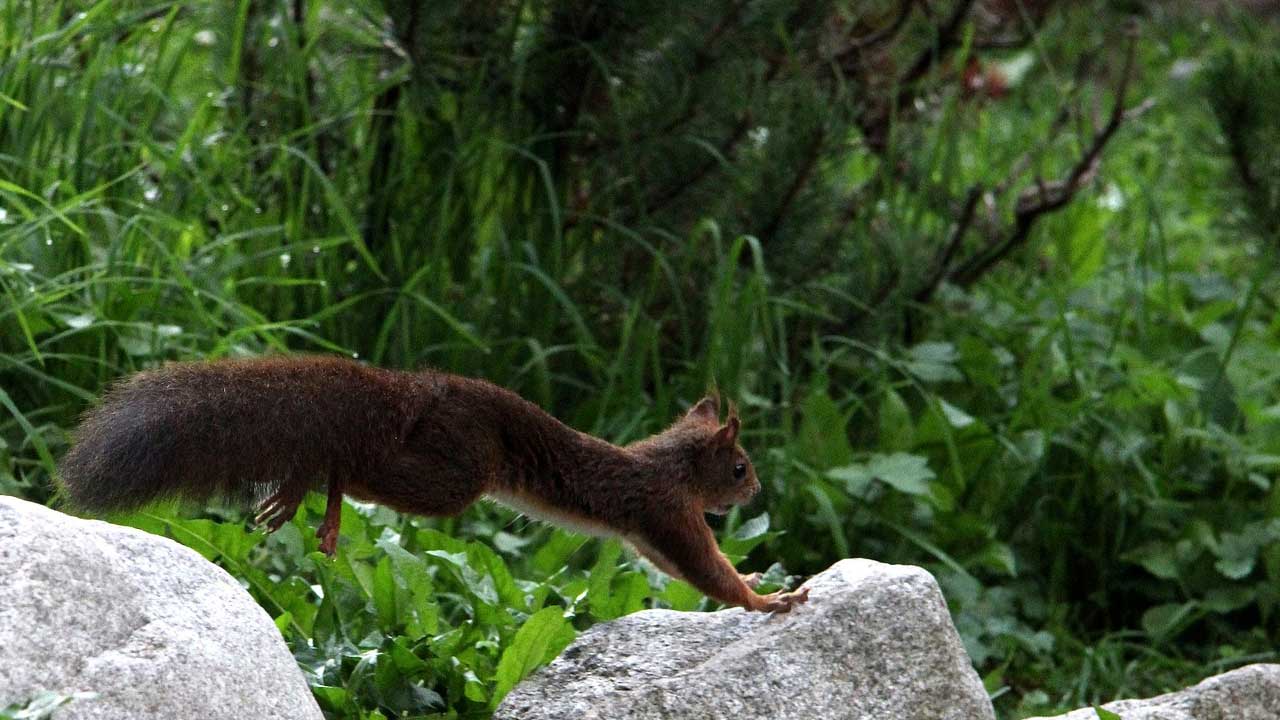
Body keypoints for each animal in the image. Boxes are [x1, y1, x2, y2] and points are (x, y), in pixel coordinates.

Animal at [57, 353, 808, 609]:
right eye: (740, 467)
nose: (753, 494)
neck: (670, 463)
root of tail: (415, 389)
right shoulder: (665, 510)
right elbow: (706, 570)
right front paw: (766, 600)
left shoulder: (646, 532)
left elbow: (680, 568)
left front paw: (760, 580)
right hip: (455, 475)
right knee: (353, 463)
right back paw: (315, 491)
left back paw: (311, 505)